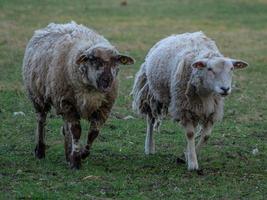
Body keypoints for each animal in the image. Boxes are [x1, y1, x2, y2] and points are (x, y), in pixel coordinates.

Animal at [22, 21, 136, 169]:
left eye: (116, 61)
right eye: (93, 59)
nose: (107, 81)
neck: (92, 90)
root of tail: (57, 24)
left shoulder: (103, 108)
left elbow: (93, 133)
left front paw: (81, 154)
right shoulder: (68, 103)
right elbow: (76, 131)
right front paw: (76, 160)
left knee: (65, 128)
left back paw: (67, 154)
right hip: (38, 95)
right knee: (41, 120)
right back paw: (40, 151)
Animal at [132, 31, 249, 170]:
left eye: (231, 69)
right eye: (209, 69)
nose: (225, 89)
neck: (205, 92)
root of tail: (175, 35)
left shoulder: (212, 111)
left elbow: (206, 136)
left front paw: (187, 155)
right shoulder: (184, 109)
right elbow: (190, 134)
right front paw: (193, 163)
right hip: (152, 94)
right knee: (150, 120)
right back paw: (149, 147)